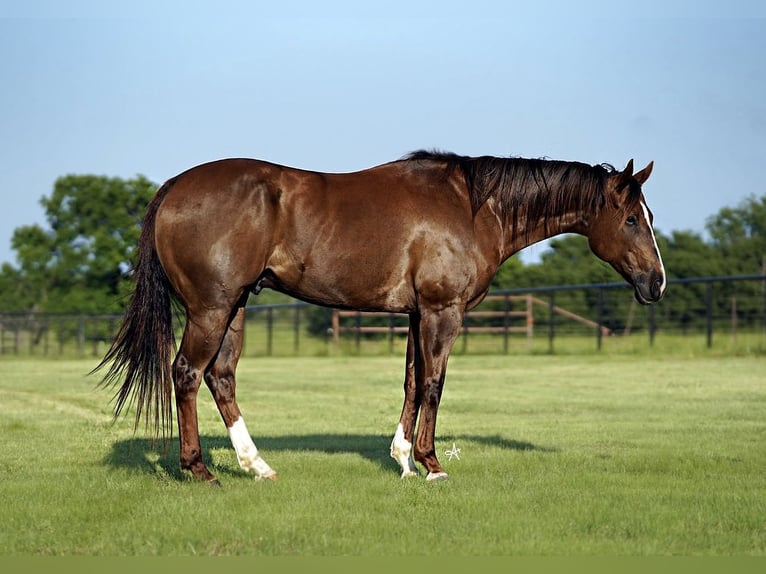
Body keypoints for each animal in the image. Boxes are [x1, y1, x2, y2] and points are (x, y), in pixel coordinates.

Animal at [96, 151, 668, 484]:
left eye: (648, 216)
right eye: (631, 219)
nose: (656, 282)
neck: (471, 206)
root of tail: (174, 186)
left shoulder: (417, 313)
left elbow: (413, 383)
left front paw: (404, 460)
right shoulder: (442, 311)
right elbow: (435, 383)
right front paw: (433, 465)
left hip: (234, 308)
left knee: (221, 377)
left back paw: (256, 466)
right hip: (211, 308)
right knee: (187, 374)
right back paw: (199, 471)